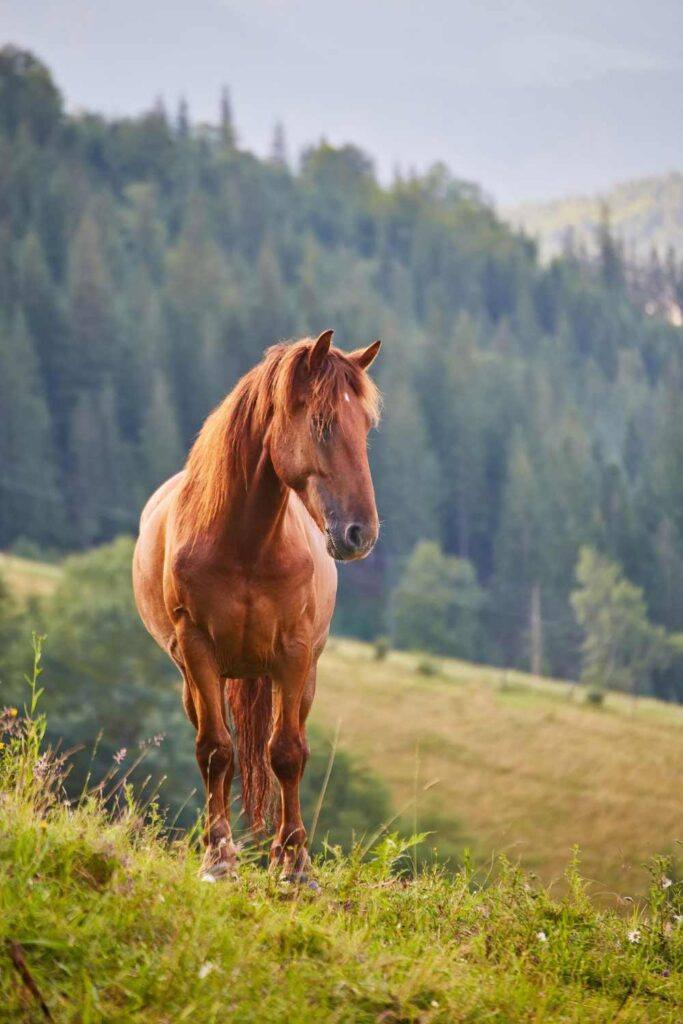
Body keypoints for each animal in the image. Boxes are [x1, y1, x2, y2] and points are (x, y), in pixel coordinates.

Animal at [131, 329, 382, 880]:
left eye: (367, 427)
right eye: (323, 424)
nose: (361, 534)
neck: (245, 545)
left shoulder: (293, 653)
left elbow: (286, 754)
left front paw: (295, 865)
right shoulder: (198, 649)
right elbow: (215, 751)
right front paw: (219, 857)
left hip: (301, 677)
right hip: (198, 679)